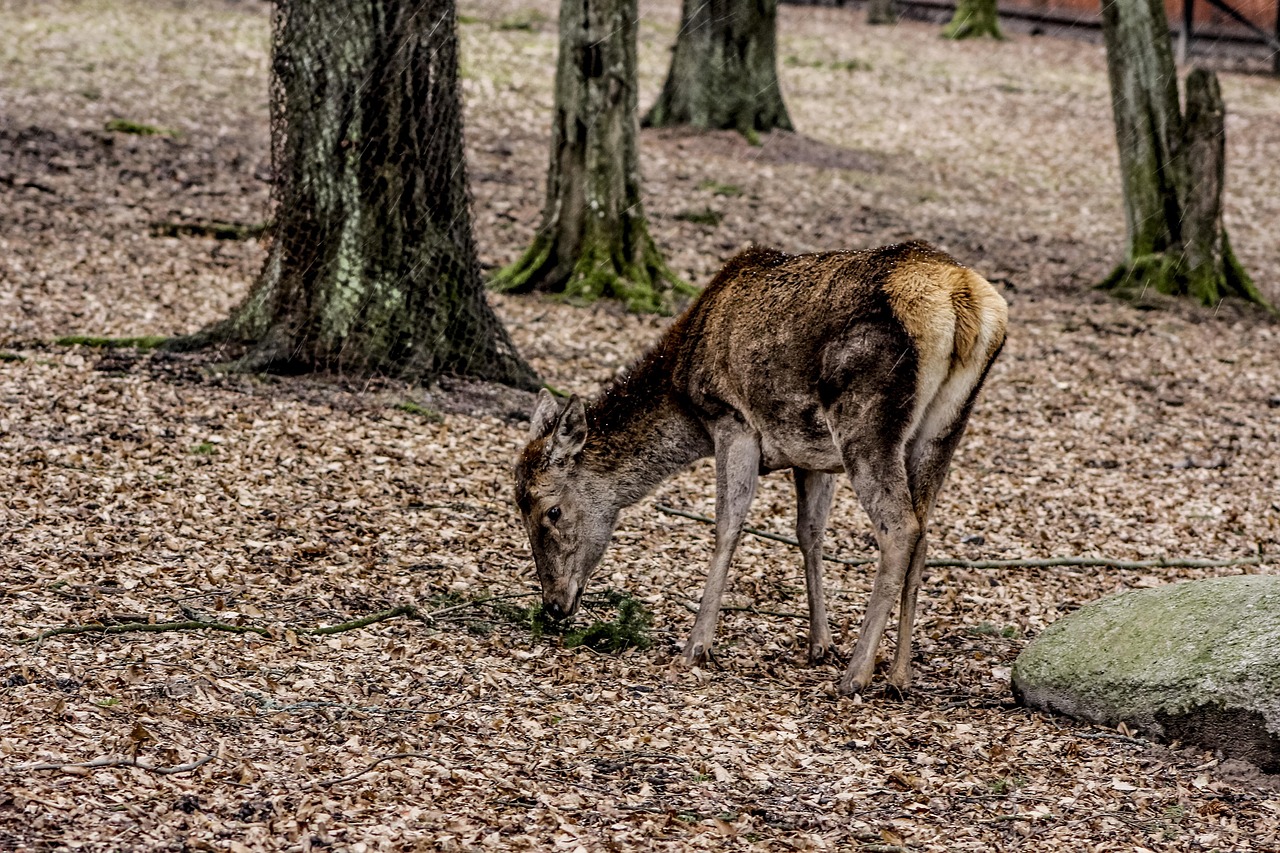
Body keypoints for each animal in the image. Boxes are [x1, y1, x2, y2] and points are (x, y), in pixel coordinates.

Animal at [514, 241, 1008, 694]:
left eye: (551, 510)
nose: (553, 605)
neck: (683, 393)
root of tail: (962, 297)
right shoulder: (811, 456)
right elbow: (809, 534)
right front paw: (819, 644)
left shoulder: (732, 419)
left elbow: (728, 525)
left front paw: (696, 646)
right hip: (944, 427)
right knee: (924, 532)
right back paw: (900, 674)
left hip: (866, 421)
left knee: (900, 528)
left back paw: (856, 674)